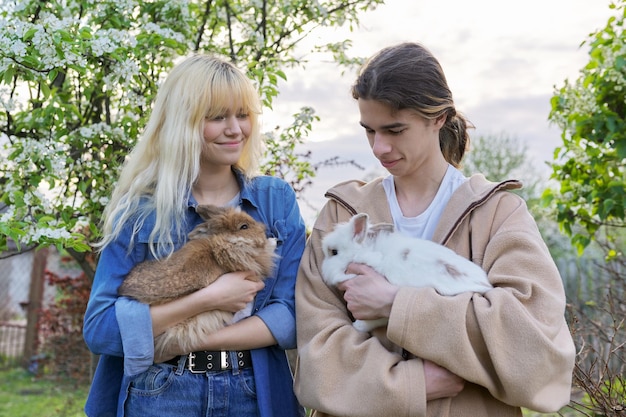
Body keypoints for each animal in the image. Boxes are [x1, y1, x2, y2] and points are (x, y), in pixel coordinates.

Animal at [322, 213, 492, 330]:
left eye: (334, 252)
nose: (323, 271)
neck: (368, 252)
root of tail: (486, 285)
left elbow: (370, 320)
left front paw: (357, 326)